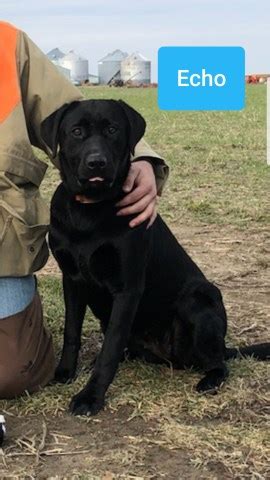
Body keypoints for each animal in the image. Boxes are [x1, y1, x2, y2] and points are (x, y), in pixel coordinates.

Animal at [41, 99, 268, 414]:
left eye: (112, 129)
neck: (91, 211)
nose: (97, 162)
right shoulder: (72, 280)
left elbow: (110, 347)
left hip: (200, 298)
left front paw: (91, 396)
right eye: (76, 131)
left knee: (219, 362)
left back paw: (209, 380)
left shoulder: (127, 289)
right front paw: (64, 373)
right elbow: (71, 332)